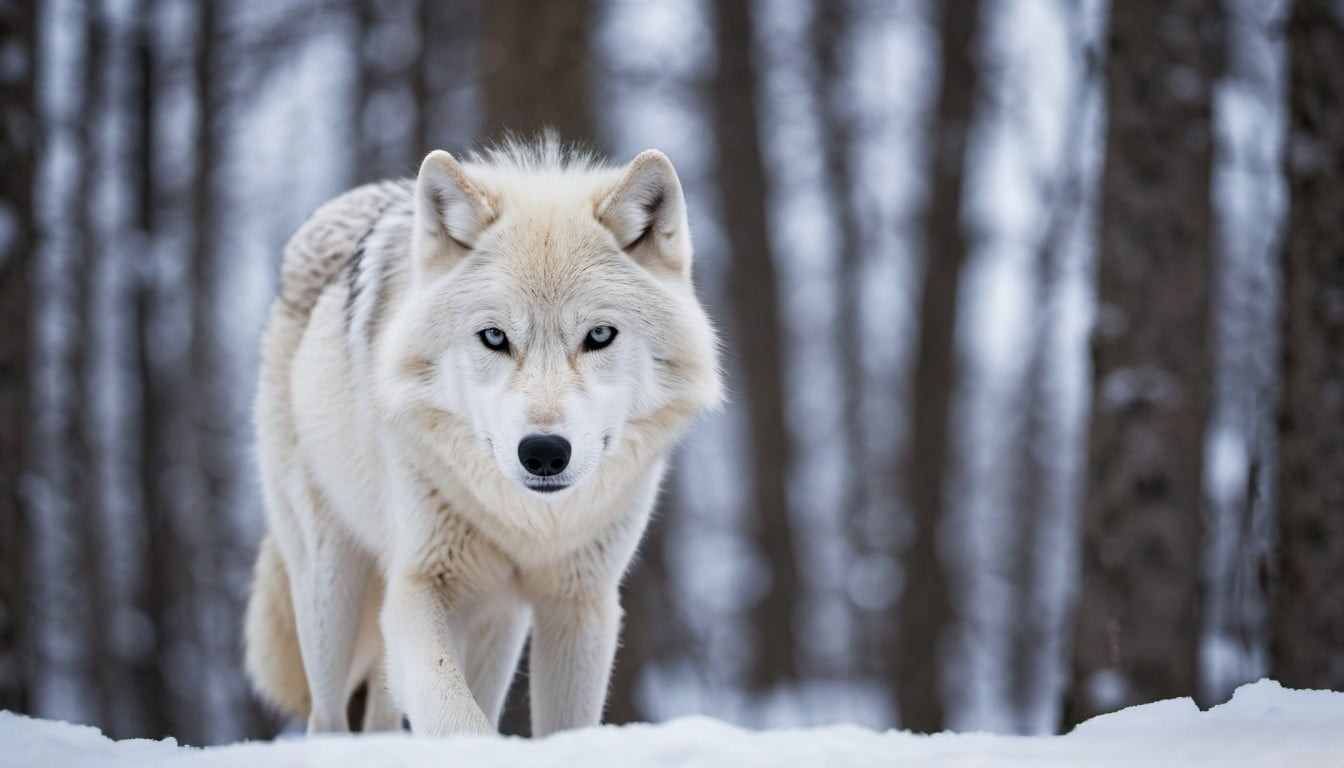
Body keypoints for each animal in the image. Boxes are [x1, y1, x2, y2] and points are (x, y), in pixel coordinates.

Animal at [244, 139, 725, 737]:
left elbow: (562, 726)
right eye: (495, 337)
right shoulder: (418, 586)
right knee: (327, 718)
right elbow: (455, 713)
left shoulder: (580, 603)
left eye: (599, 335)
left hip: (495, 619)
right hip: (331, 583)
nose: (544, 452)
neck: (528, 525)